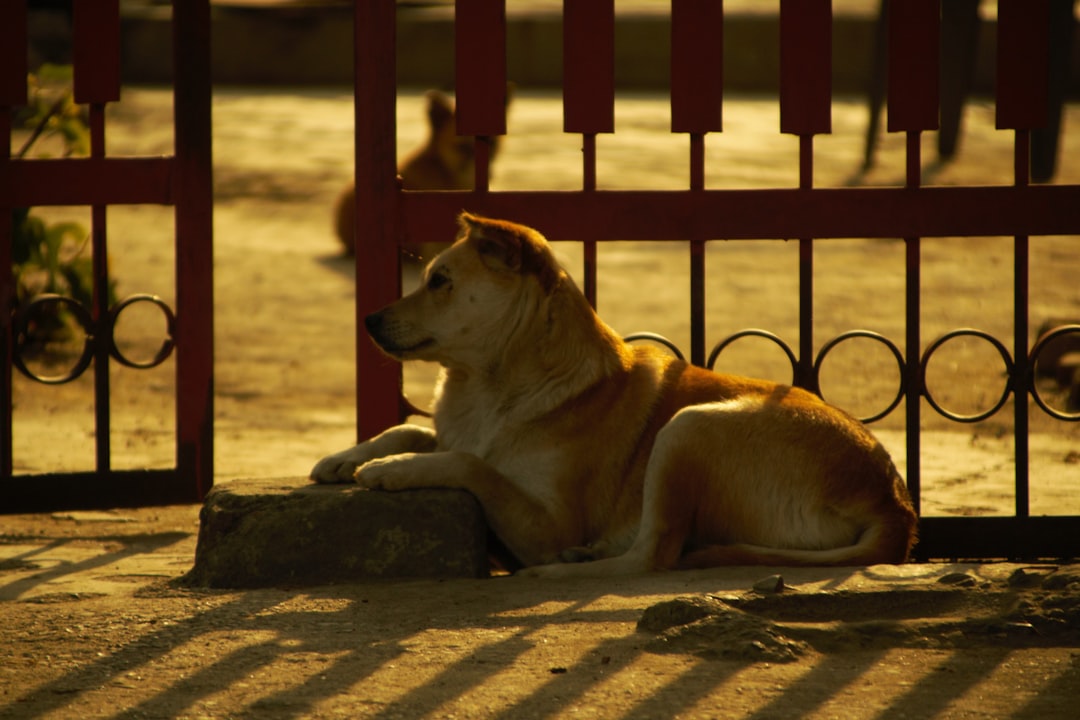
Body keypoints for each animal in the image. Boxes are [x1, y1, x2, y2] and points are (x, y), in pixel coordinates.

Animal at [308, 211, 915, 578]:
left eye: (439, 281)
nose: (368, 320)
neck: (488, 387)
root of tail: (895, 503)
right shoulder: (456, 431)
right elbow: (414, 427)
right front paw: (345, 457)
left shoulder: (548, 520)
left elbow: (469, 464)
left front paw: (395, 469)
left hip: (689, 426)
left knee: (653, 555)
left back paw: (561, 567)